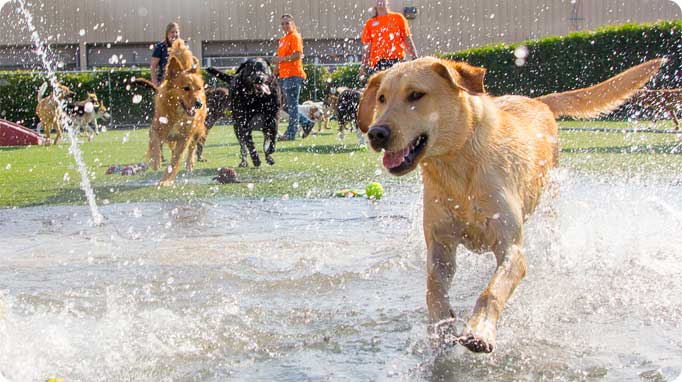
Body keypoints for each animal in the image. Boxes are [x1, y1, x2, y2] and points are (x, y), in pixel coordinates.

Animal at [356, 56, 660, 352]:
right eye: (382, 98)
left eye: (416, 95)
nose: (376, 133)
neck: (458, 167)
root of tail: (538, 101)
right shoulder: (440, 245)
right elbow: (433, 289)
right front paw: (441, 328)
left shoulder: (510, 246)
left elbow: (492, 291)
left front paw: (479, 330)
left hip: (550, 197)